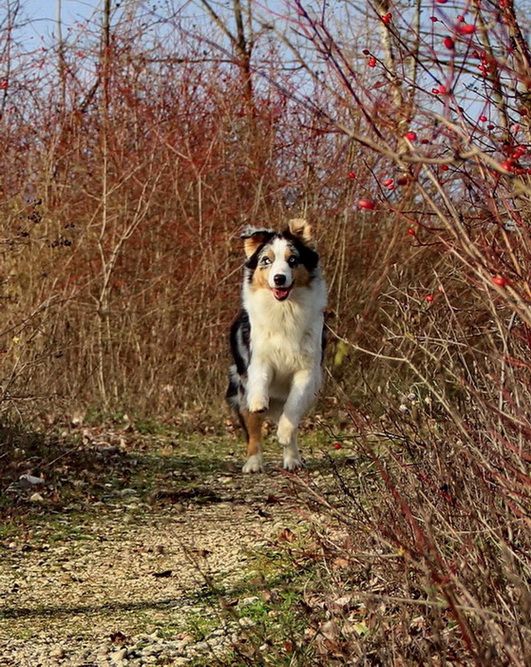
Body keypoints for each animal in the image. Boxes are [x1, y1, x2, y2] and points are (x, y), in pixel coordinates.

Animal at [225, 217, 326, 472]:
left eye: (293, 260)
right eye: (266, 261)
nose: (279, 278)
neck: (284, 310)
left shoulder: (307, 371)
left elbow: (293, 406)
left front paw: (284, 434)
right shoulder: (257, 358)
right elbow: (260, 380)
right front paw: (259, 401)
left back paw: (292, 458)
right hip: (238, 387)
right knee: (253, 430)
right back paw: (253, 463)